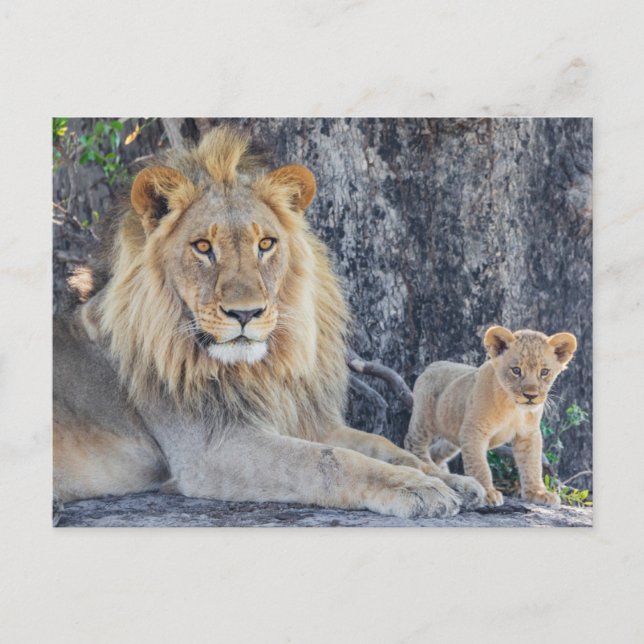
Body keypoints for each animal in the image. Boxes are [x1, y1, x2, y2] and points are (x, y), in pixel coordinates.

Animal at [53, 126, 485, 524]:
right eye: (203, 247)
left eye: (265, 245)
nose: (245, 314)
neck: (259, 370)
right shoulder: (212, 449)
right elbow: (330, 461)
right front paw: (416, 487)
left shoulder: (306, 421)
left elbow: (384, 446)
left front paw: (452, 480)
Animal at [404, 326, 577, 507]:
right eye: (516, 370)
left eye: (544, 372)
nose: (530, 396)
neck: (513, 408)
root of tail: (432, 364)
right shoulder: (474, 431)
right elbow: (479, 465)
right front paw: (487, 493)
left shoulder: (528, 434)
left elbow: (532, 464)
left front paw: (537, 493)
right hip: (424, 419)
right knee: (413, 443)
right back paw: (428, 466)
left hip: (453, 433)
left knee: (438, 450)